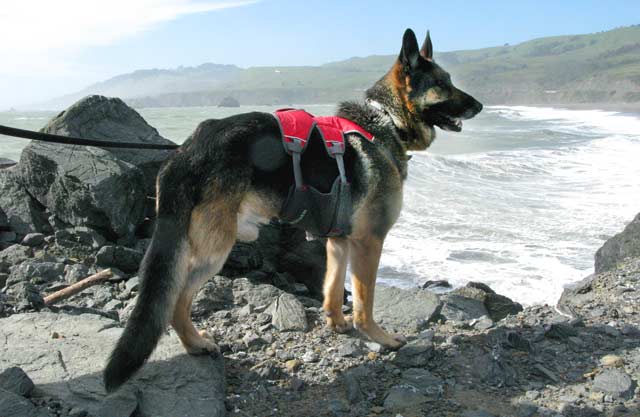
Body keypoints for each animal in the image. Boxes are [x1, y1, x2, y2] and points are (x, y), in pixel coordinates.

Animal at [104, 28, 480, 390]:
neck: (386, 119)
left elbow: (332, 288)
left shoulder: (339, 241)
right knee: (177, 299)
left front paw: (337, 324)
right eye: (442, 83)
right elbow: (365, 301)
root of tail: (186, 151)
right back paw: (196, 344)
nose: (479, 105)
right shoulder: (369, 242)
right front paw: (379, 337)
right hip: (215, 251)